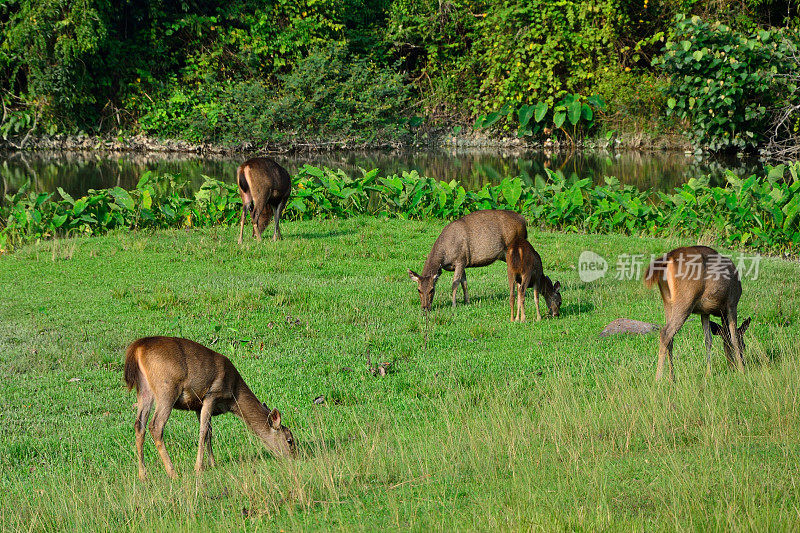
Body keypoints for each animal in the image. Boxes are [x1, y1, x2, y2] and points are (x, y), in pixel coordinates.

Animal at [123, 334, 298, 480]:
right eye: (289, 440)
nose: (295, 458)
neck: (233, 396)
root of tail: (137, 348)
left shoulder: (198, 405)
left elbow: (209, 432)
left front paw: (212, 463)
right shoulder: (211, 394)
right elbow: (203, 431)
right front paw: (199, 467)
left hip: (144, 389)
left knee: (139, 425)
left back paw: (143, 475)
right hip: (166, 387)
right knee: (155, 425)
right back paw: (172, 472)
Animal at [644, 247, 752, 380]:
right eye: (744, 345)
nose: (733, 366)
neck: (721, 312)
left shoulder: (704, 312)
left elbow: (708, 340)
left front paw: (709, 373)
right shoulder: (732, 304)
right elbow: (734, 337)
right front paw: (742, 371)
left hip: (667, 301)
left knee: (670, 337)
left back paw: (672, 378)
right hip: (685, 298)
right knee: (665, 332)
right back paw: (658, 379)